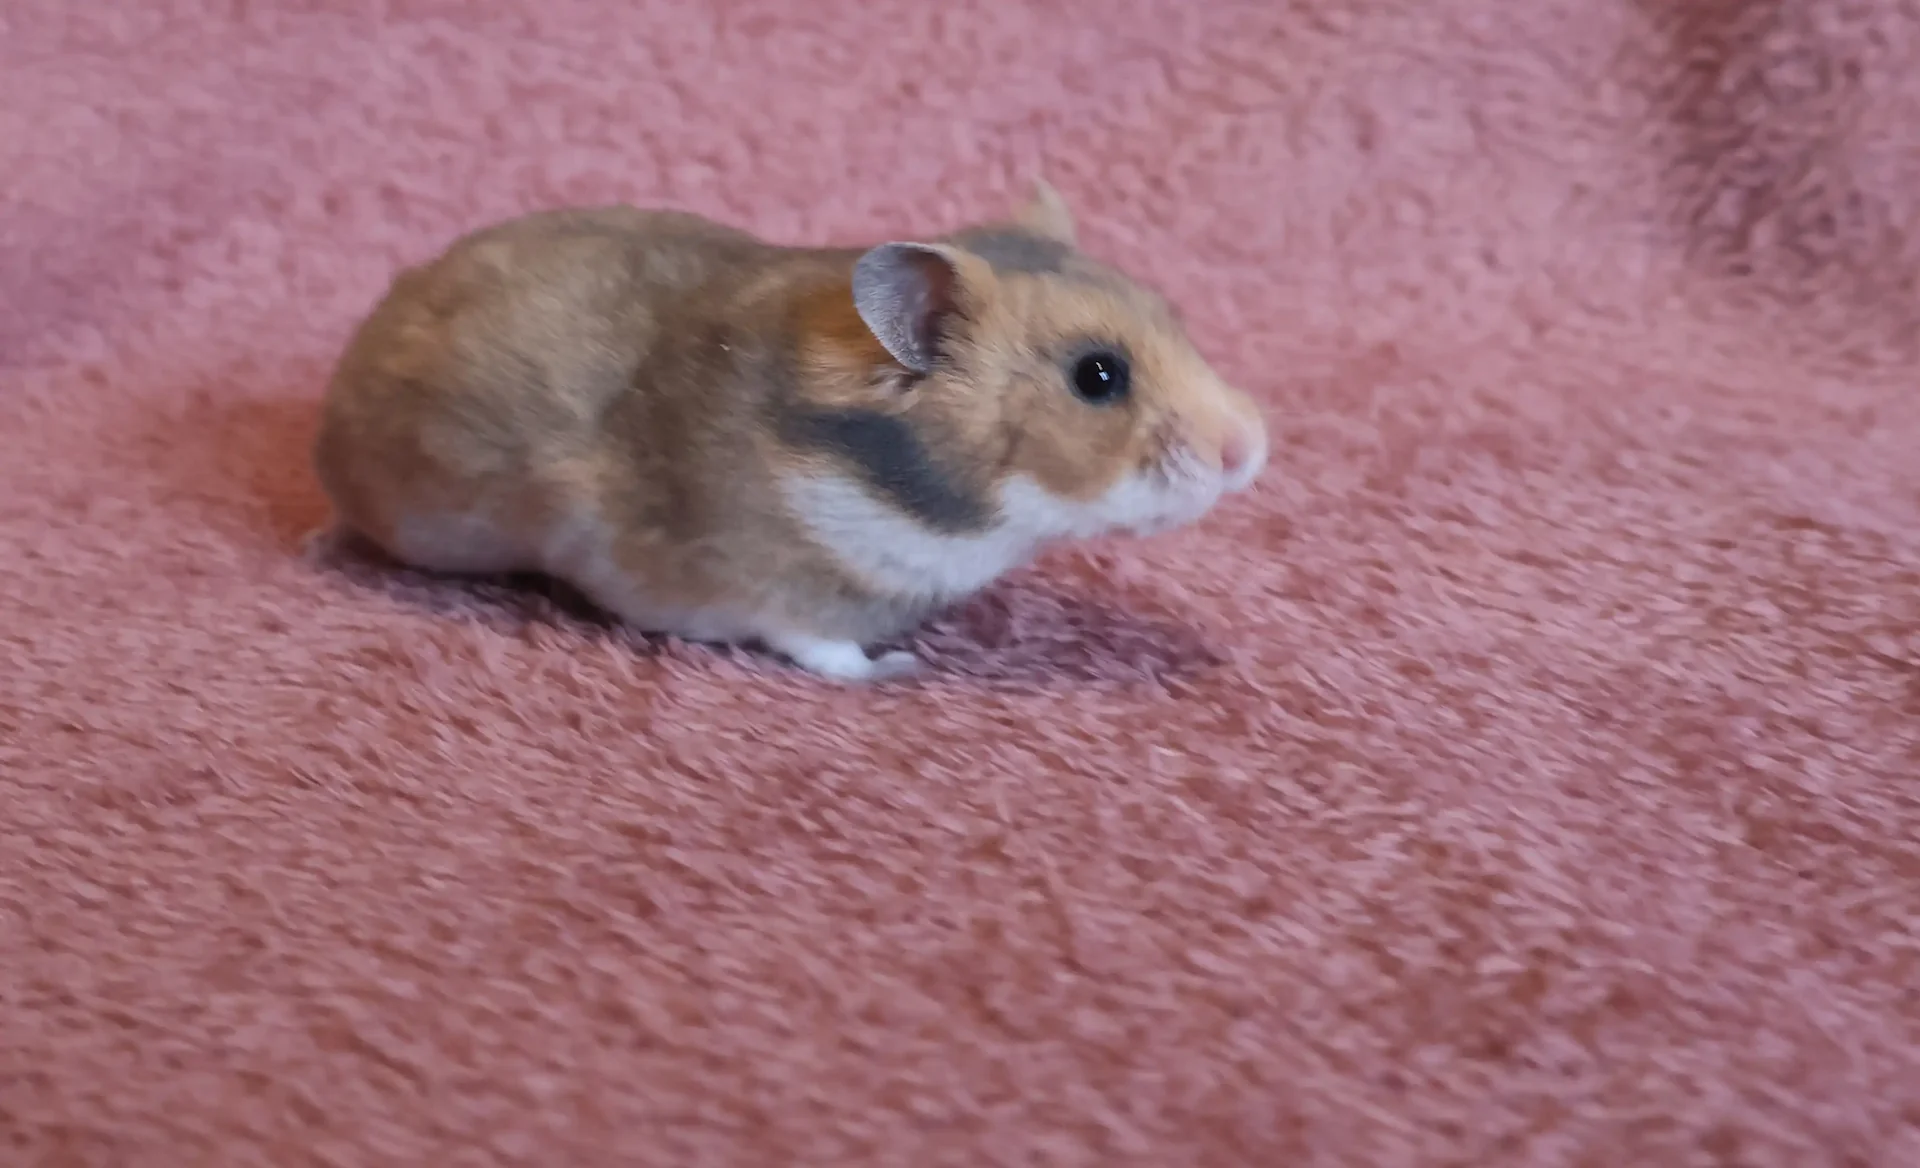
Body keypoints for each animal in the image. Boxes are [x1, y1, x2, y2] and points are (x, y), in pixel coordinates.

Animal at [311, 180, 1268, 682]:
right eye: (1098, 377)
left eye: (1171, 313)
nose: (1251, 451)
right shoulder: (778, 595)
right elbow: (829, 652)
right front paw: (901, 671)